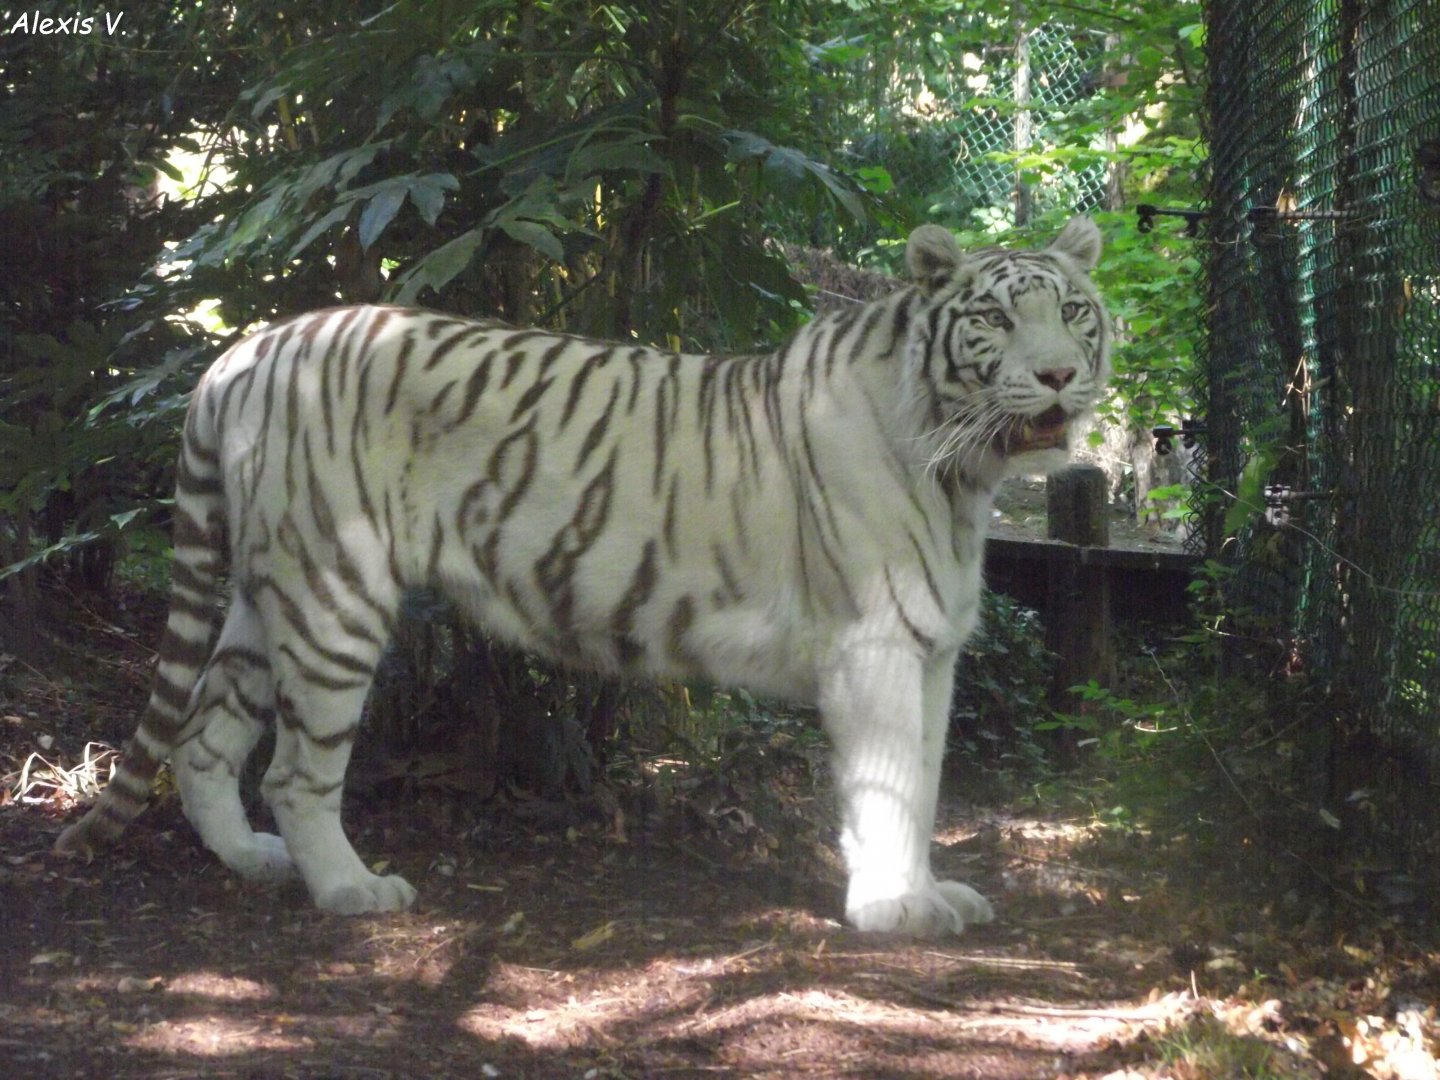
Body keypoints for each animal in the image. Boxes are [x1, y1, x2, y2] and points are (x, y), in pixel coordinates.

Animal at [56, 217, 1109, 936]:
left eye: (1075, 312)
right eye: (996, 317)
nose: (1060, 376)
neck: (964, 473)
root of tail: (246, 347)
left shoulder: (932, 649)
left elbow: (923, 785)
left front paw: (929, 893)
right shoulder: (877, 643)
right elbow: (888, 785)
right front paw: (894, 910)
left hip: (262, 590)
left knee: (203, 737)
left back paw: (250, 861)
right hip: (331, 594)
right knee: (294, 768)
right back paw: (352, 889)